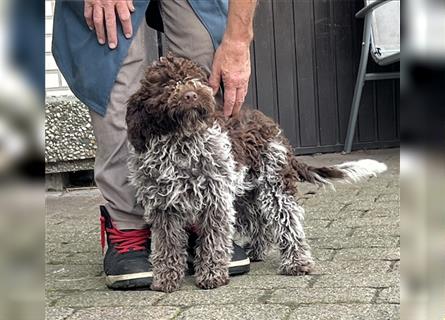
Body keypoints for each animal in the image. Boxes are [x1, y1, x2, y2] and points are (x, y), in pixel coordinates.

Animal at [125, 53, 386, 292]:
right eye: (165, 84)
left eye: (195, 79)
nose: (191, 95)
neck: (180, 144)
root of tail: (274, 129)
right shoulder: (164, 207)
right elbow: (166, 244)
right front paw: (166, 278)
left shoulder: (215, 201)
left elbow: (213, 240)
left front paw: (212, 275)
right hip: (243, 195)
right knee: (260, 223)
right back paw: (257, 251)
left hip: (274, 186)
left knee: (289, 222)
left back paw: (297, 262)